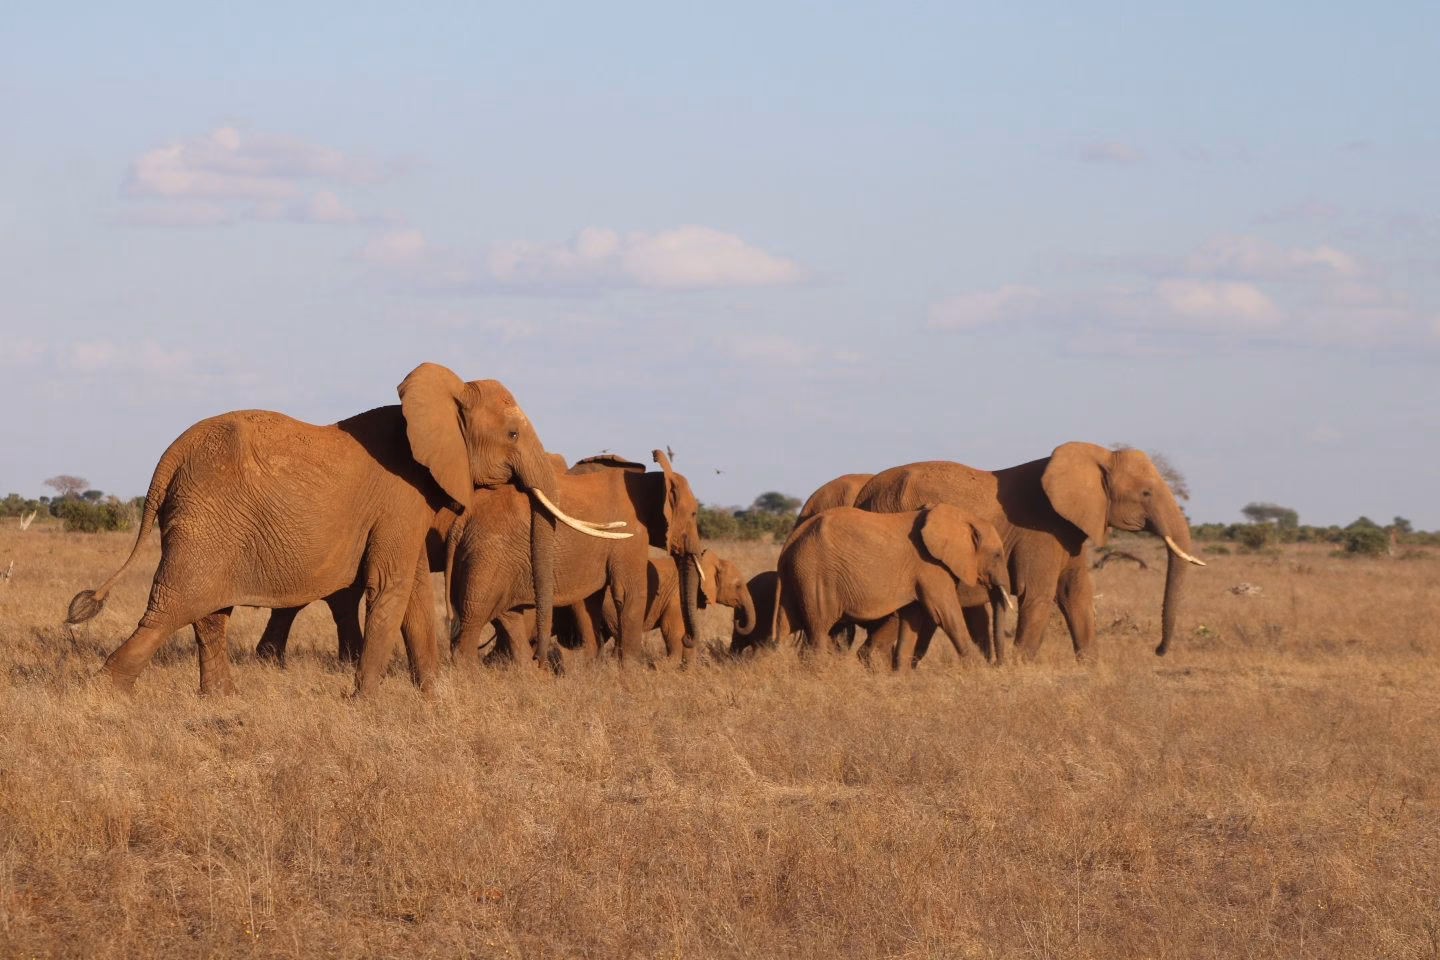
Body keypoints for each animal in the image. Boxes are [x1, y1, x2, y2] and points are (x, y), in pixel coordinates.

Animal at [65, 364, 625, 695]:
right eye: (512, 434)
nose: (546, 667)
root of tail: (168, 457)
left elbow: (413, 592)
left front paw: (430, 696)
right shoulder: (402, 495)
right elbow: (390, 587)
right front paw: (366, 699)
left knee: (208, 612)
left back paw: (219, 698)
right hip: (207, 515)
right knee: (172, 606)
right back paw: (103, 694)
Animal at [448, 449, 703, 667]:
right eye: (693, 514)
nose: (688, 639)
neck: (653, 481)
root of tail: (462, 520)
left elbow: (590, 600)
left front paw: (593, 669)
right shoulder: (631, 533)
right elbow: (629, 593)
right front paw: (631, 674)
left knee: (506, 616)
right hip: (488, 556)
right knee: (475, 614)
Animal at [774, 505, 1011, 665]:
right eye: (998, 555)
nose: (996, 665)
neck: (962, 517)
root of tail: (791, 541)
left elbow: (913, 617)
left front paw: (899, 677)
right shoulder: (930, 567)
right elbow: (945, 615)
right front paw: (978, 670)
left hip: (798, 578)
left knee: (785, 630)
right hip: (816, 576)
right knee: (819, 632)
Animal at [853, 443, 1205, 663]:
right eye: (1146, 493)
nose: (1158, 651)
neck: (1097, 455)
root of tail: (863, 494)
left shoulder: (1069, 529)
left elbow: (1076, 593)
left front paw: (1091, 670)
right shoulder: (1042, 531)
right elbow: (1039, 595)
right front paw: (1021, 671)